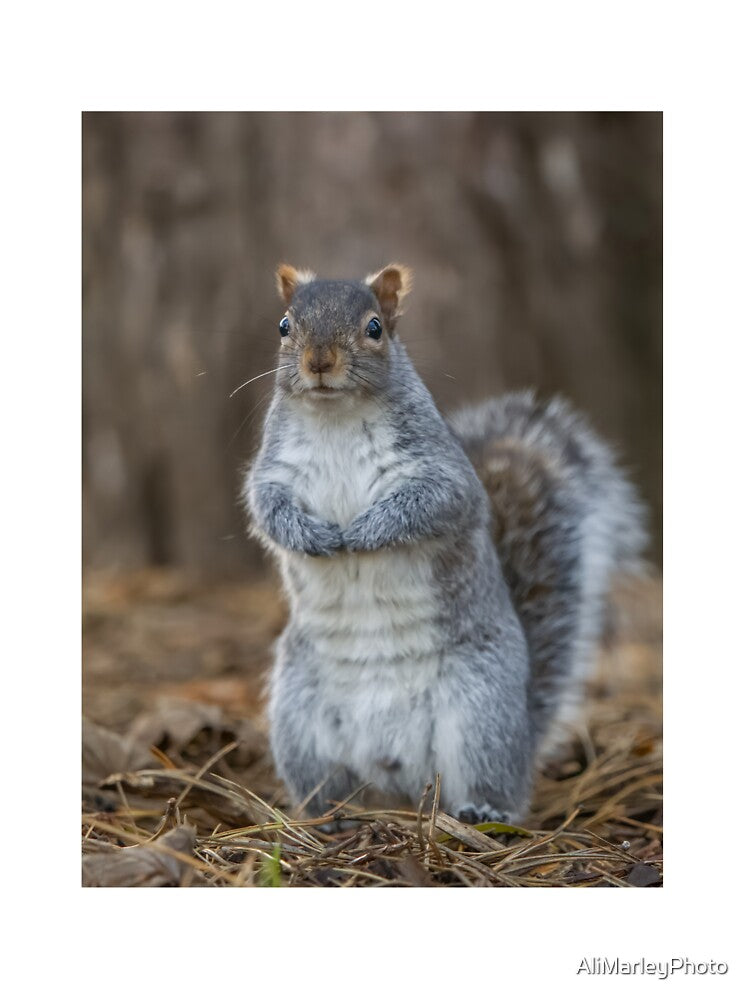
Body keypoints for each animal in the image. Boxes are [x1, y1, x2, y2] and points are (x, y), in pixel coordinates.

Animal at [243, 263, 647, 824]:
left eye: (375, 328)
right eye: (284, 325)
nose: (319, 361)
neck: (334, 417)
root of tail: (400, 779)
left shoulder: (442, 474)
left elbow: (430, 503)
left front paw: (366, 531)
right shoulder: (273, 471)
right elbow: (268, 508)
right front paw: (313, 535)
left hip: (480, 711)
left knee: (491, 781)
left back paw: (482, 811)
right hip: (298, 718)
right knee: (326, 781)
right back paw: (329, 815)